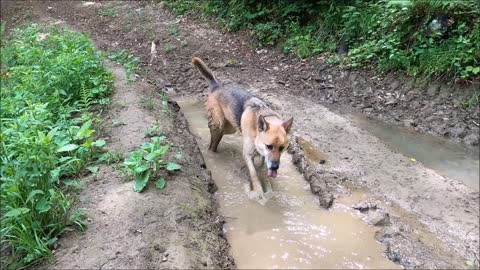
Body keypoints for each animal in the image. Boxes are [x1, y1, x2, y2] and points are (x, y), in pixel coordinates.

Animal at [191, 57, 292, 200]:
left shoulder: (263, 157)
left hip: (230, 127)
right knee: (213, 141)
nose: (275, 167)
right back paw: (210, 151)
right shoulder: (248, 154)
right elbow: (254, 175)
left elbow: (261, 168)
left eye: (282, 148)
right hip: (218, 125)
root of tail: (217, 86)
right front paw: (258, 193)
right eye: (269, 146)